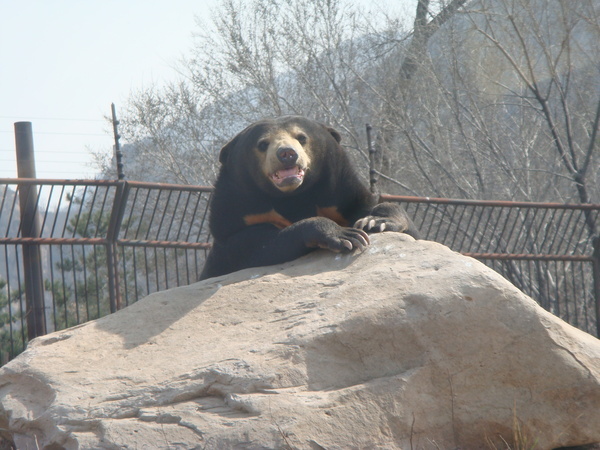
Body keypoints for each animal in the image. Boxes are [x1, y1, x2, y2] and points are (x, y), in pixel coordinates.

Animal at [199, 114, 420, 280]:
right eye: (262, 144)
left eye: (301, 137)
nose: (287, 153)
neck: (294, 197)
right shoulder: (235, 219)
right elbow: (255, 246)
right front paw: (346, 235)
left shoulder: (342, 197)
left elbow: (400, 224)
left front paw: (375, 221)